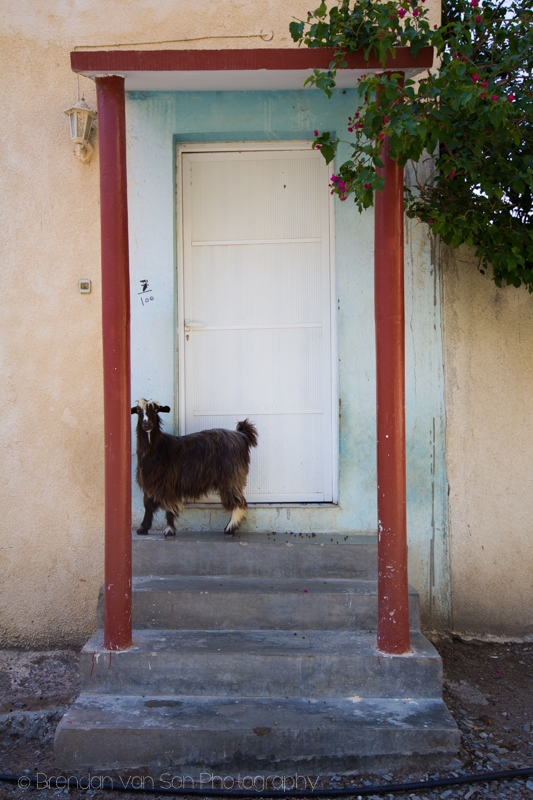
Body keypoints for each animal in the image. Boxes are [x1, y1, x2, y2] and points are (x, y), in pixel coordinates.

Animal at [130, 400, 256, 536]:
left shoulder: (167, 484)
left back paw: (230, 528)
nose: (147, 424)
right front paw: (143, 529)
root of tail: (242, 436)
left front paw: (169, 530)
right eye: (138, 410)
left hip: (231, 476)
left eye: (155, 409)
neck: (159, 448)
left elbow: (169, 507)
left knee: (239, 501)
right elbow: (148, 506)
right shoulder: (150, 483)